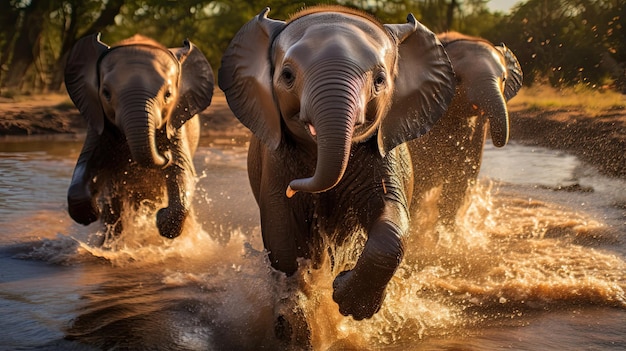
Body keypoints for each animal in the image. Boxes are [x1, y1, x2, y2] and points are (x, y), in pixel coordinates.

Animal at [64, 33, 213, 239]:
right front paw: (92, 211)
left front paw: (163, 220)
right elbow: (86, 164)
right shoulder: (98, 123)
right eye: (106, 93)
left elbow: (182, 169)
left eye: (168, 95)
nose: (165, 153)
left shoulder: (175, 122)